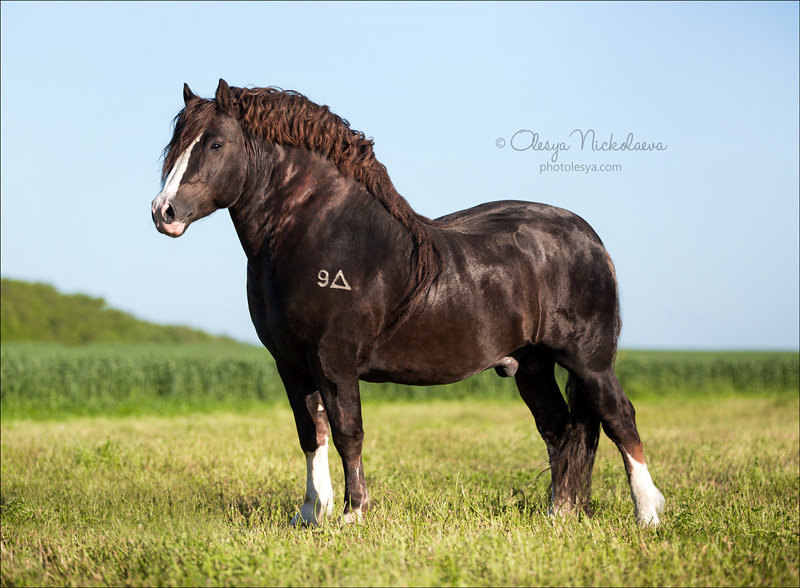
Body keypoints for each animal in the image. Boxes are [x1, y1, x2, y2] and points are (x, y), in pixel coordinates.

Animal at [153, 79, 664, 528]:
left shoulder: (333, 359)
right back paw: (559, 514)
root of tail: (588, 237)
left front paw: (353, 514)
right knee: (560, 430)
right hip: (531, 366)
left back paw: (648, 516)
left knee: (620, 420)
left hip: (589, 362)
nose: (164, 212)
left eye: (215, 144)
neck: (323, 235)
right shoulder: (291, 364)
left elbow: (348, 431)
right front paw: (310, 515)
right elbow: (311, 434)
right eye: (175, 145)